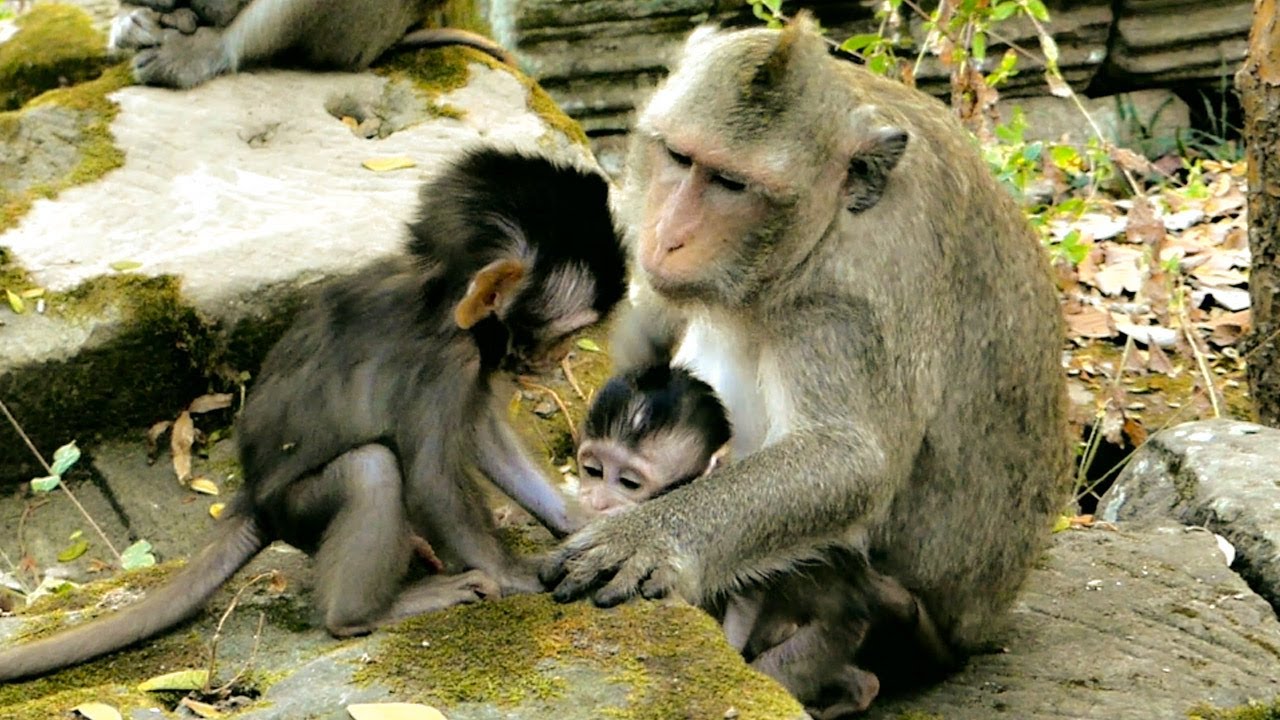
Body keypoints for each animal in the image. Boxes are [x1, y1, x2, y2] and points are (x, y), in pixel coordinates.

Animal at [0, 147, 628, 683]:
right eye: (566, 334)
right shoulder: (445, 362)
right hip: (300, 508)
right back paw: (360, 615)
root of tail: (254, 500)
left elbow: (483, 437)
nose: (561, 360)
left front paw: (581, 521)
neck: (441, 296)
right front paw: (518, 574)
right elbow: (432, 481)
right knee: (372, 469)